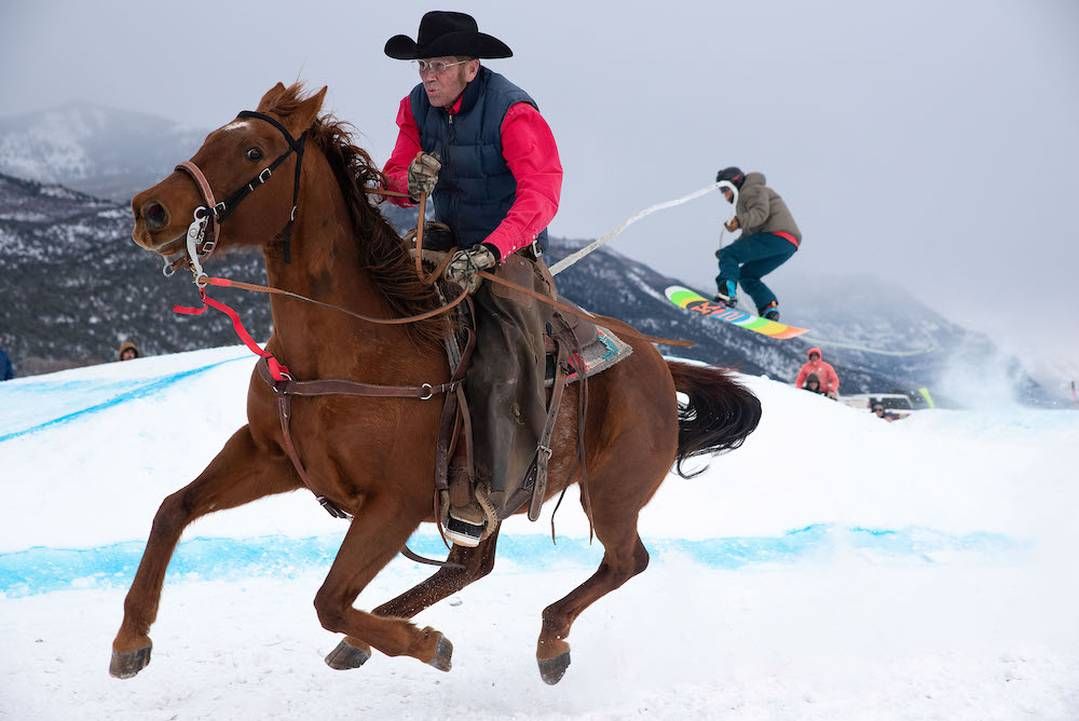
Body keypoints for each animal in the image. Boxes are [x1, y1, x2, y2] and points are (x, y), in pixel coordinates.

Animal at [112, 82, 762, 684]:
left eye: (252, 151)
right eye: (209, 139)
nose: (150, 210)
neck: (347, 350)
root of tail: (657, 361)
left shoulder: (393, 504)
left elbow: (329, 600)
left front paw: (425, 646)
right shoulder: (268, 454)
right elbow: (173, 509)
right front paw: (131, 638)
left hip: (612, 493)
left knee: (627, 561)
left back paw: (548, 640)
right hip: (505, 495)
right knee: (474, 566)